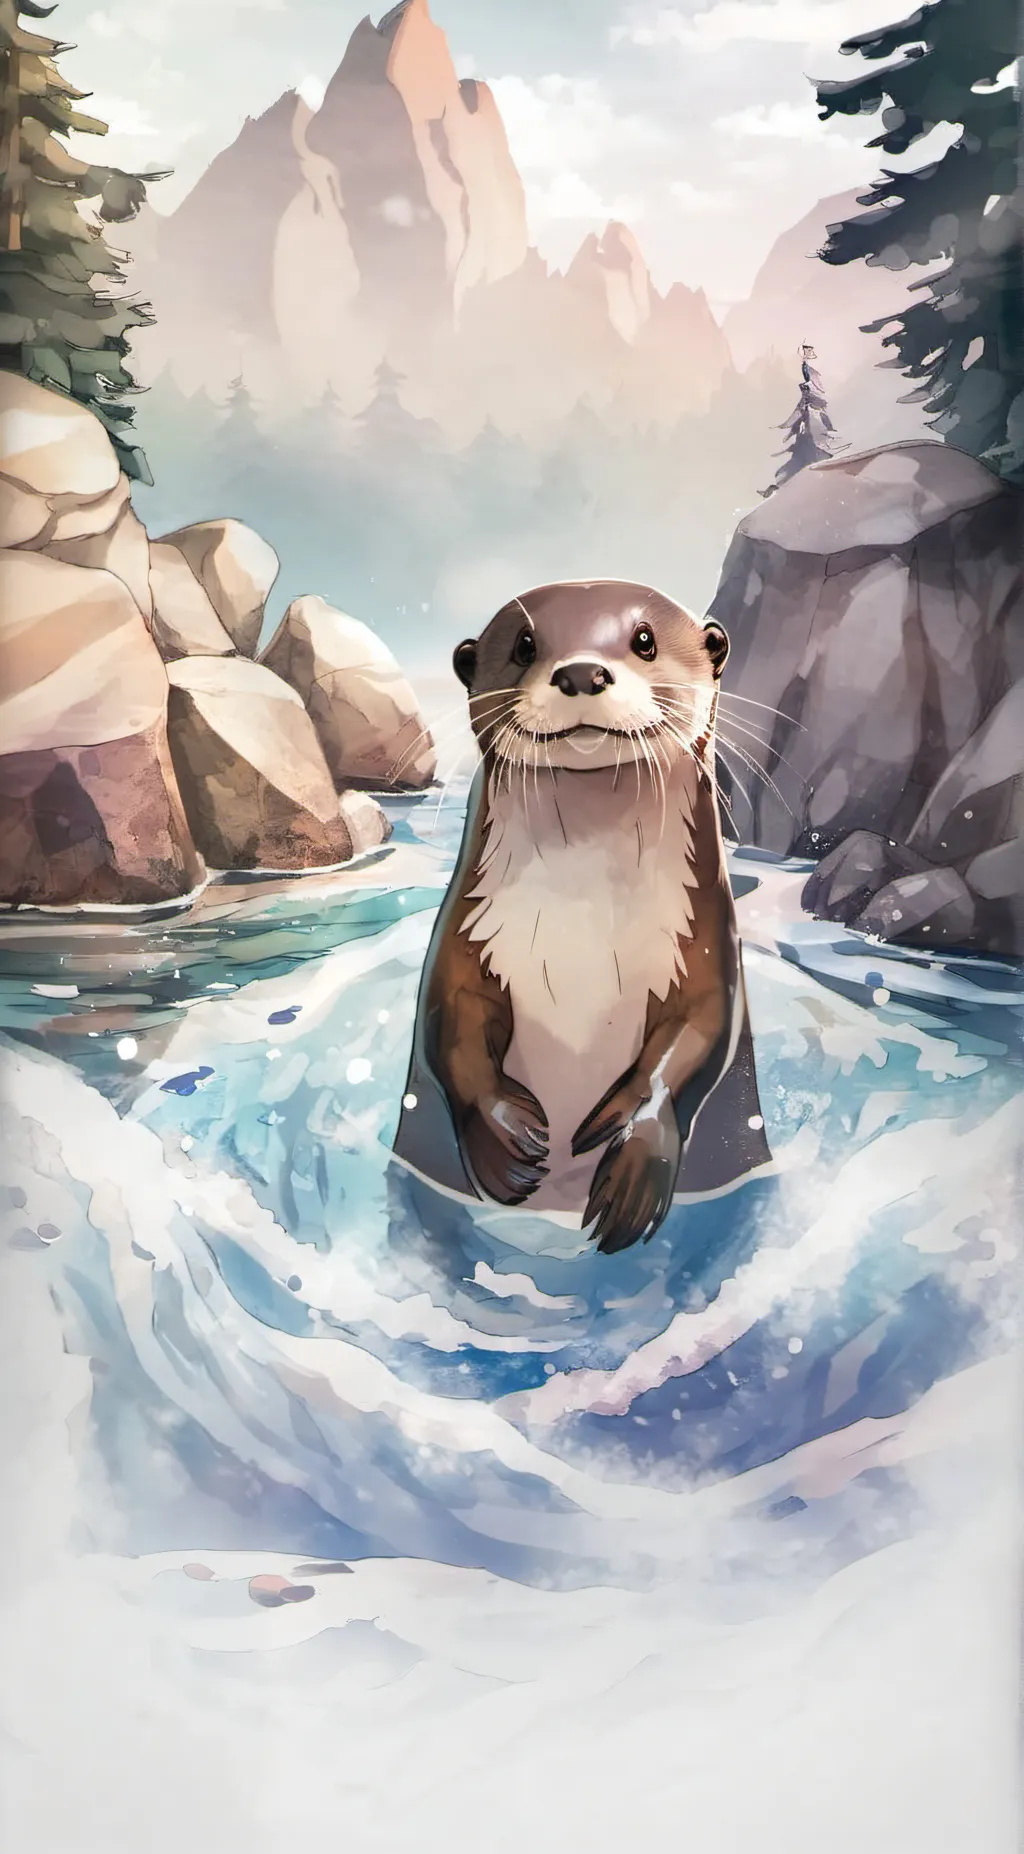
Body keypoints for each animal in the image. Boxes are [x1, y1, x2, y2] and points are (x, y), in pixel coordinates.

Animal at [392, 579, 770, 1253]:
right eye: (524, 644)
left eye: (644, 640)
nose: (581, 672)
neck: (584, 927)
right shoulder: (466, 936)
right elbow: (452, 1022)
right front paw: (506, 1141)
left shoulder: (704, 945)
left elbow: (699, 1030)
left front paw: (634, 1164)